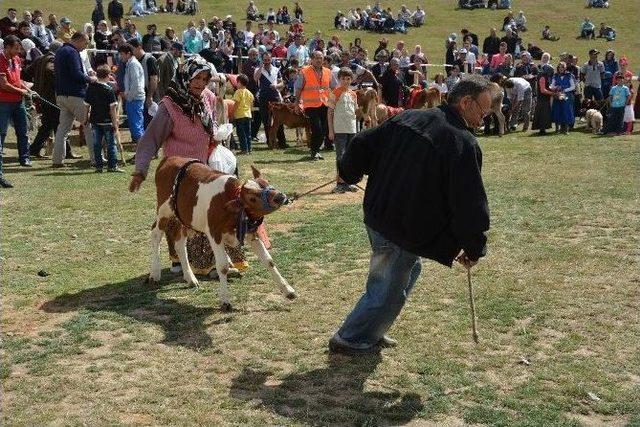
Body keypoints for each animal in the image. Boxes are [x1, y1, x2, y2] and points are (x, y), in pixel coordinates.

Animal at [149, 157, 296, 310]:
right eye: (252, 198)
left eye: (266, 182)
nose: (279, 196)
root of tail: (170, 158)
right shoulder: (214, 233)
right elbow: (223, 266)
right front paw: (225, 300)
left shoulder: (251, 233)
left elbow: (268, 261)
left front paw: (288, 290)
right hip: (164, 210)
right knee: (155, 233)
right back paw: (155, 273)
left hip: (184, 217)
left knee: (179, 243)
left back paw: (190, 278)